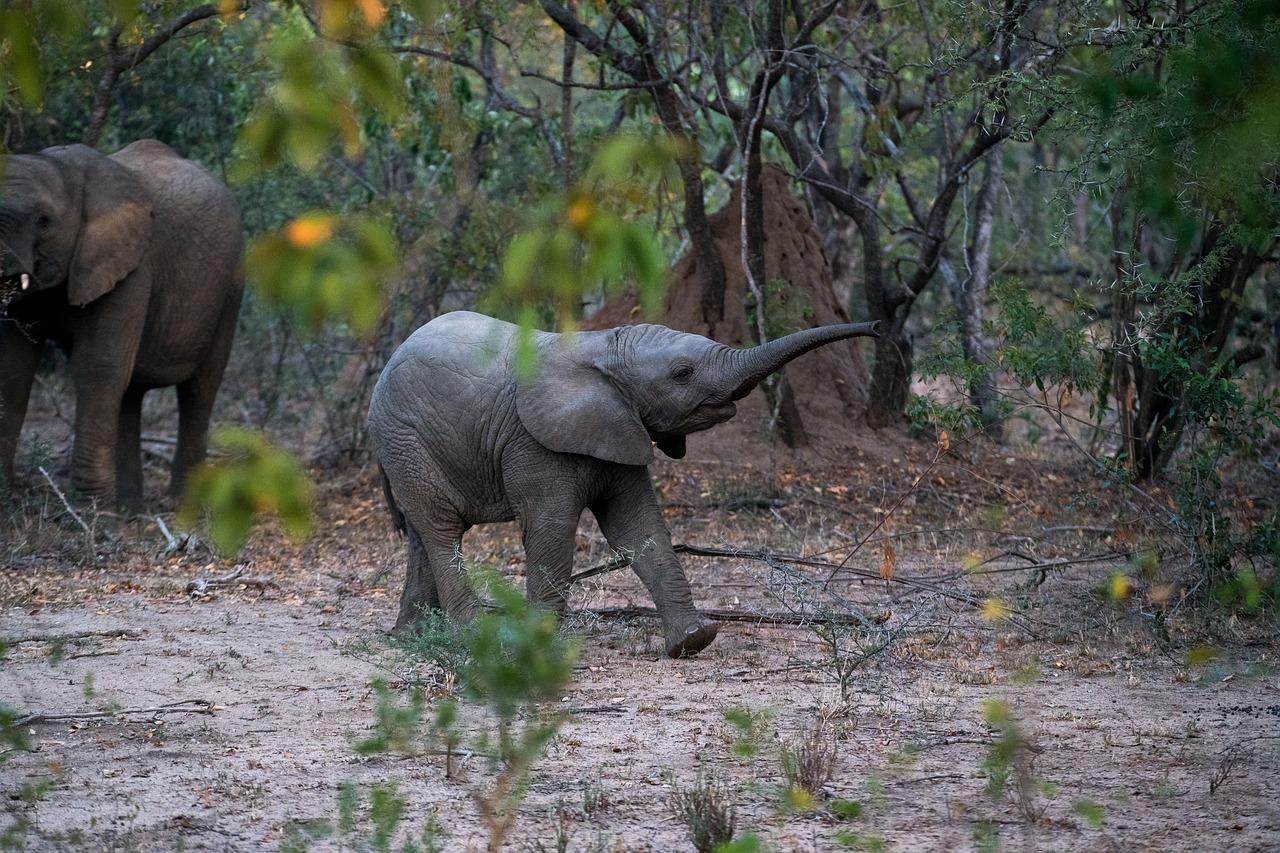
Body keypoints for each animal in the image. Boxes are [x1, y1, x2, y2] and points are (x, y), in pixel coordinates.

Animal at [0, 140, 244, 512]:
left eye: (43, 221)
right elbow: (14, 369)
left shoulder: (131, 267)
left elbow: (97, 367)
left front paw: (91, 512)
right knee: (130, 393)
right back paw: (130, 511)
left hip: (231, 286)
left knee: (198, 391)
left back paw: (181, 508)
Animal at [367, 310, 878, 658]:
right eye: (682, 373)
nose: (876, 327)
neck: (604, 349)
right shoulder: (533, 443)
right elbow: (552, 530)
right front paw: (537, 649)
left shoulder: (621, 428)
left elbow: (638, 528)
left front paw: (693, 641)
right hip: (405, 438)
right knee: (441, 527)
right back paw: (477, 637)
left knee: (422, 533)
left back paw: (411, 638)